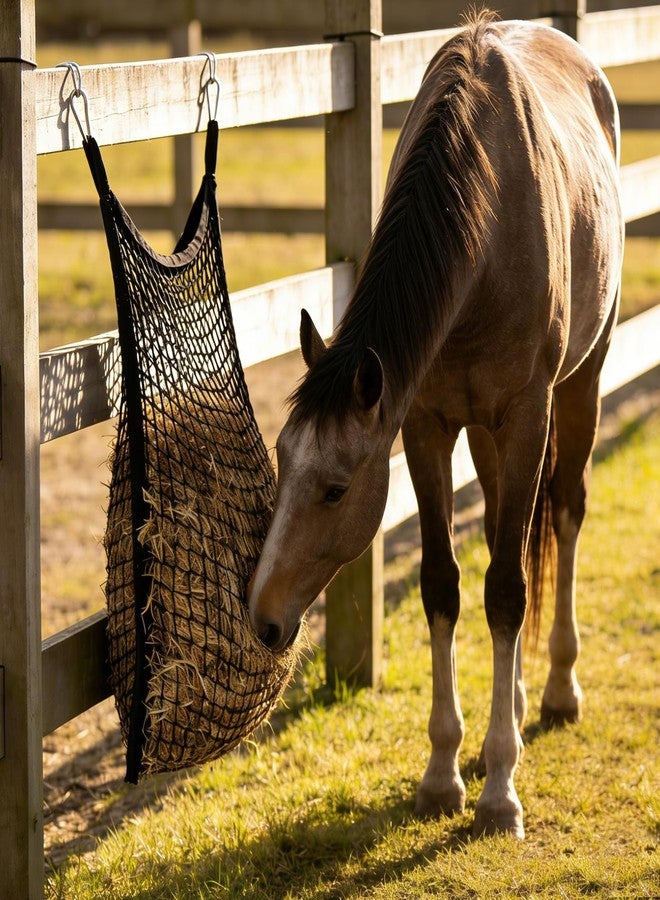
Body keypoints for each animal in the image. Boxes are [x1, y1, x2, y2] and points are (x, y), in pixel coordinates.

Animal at [247, 11, 623, 839]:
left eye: (334, 489)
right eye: (282, 466)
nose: (262, 619)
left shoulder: (527, 417)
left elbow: (509, 588)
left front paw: (500, 794)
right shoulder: (423, 425)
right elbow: (444, 585)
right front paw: (445, 771)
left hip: (579, 385)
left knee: (566, 514)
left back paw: (555, 691)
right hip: (483, 434)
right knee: (503, 531)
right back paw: (507, 714)